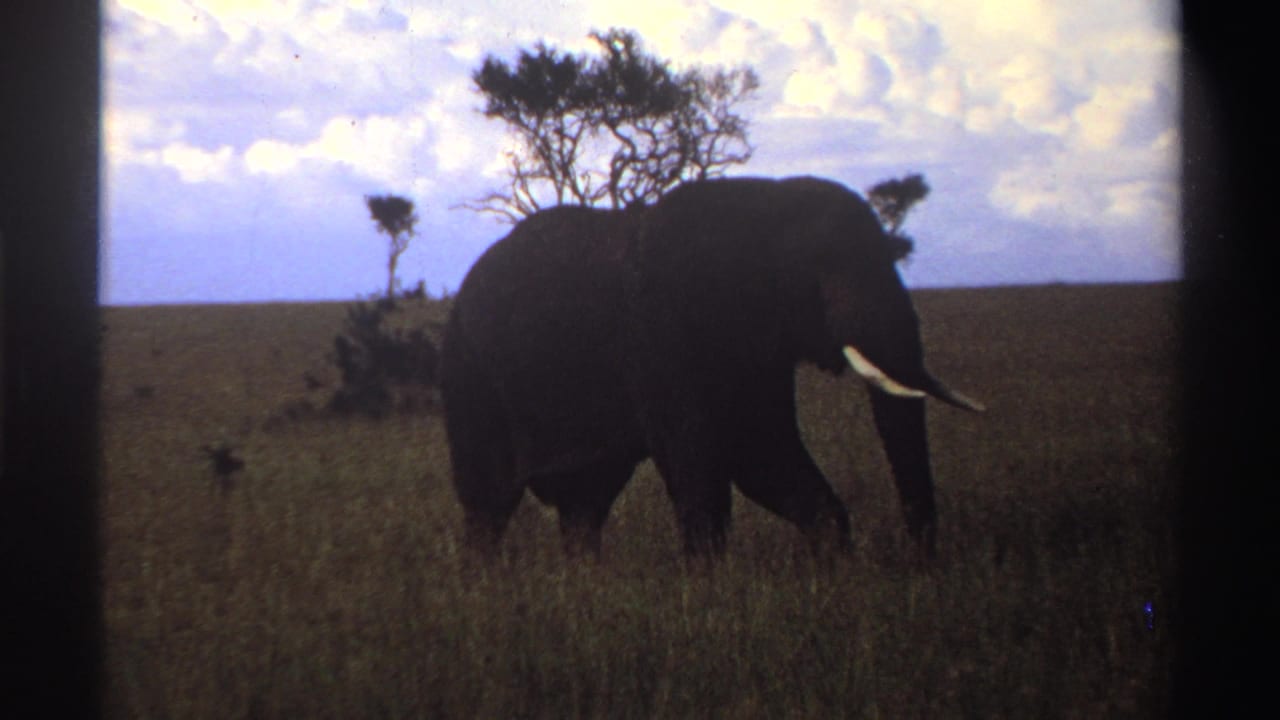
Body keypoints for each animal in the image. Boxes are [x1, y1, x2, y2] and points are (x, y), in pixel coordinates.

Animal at [439, 175, 983, 558]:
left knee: (584, 503)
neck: (765, 203)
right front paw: (705, 592)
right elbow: (702, 465)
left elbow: (765, 457)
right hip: (469, 372)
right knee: (488, 503)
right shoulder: (660, 331)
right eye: (824, 270)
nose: (922, 561)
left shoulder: (756, 353)